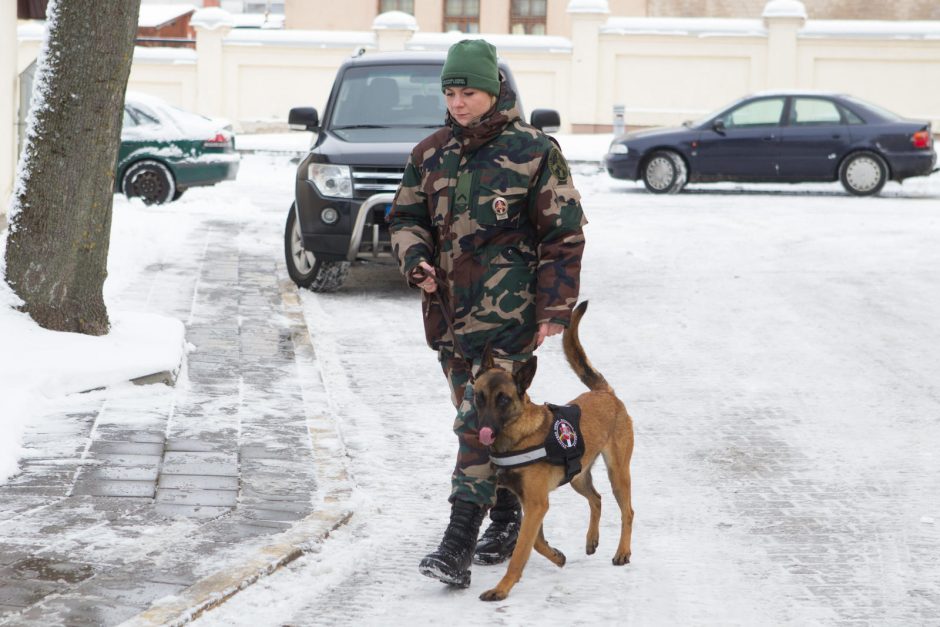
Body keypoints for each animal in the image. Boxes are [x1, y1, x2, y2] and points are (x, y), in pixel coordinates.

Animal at [474, 304, 636, 604]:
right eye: (480, 396)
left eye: (503, 399)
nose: (483, 430)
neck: (519, 434)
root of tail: (605, 393)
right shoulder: (531, 503)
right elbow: (535, 541)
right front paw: (557, 556)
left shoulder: (537, 504)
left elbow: (521, 551)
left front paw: (502, 589)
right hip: (578, 477)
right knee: (596, 499)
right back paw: (592, 540)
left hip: (618, 473)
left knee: (627, 511)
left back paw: (622, 552)